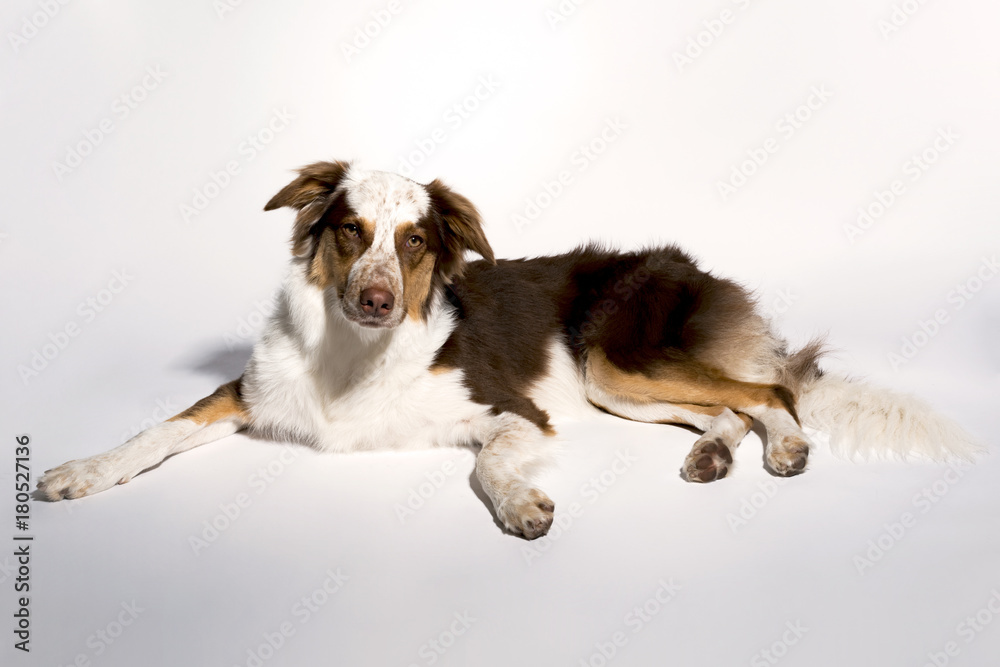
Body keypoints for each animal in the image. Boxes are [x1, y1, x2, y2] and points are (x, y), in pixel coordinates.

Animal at [39, 160, 984, 536]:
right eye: (350, 231)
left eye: (416, 242)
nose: (378, 297)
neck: (354, 355)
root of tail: (696, 269)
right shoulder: (248, 391)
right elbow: (154, 431)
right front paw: (79, 470)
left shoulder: (511, 410)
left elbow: (486, 464)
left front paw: (520, 504)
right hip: (619, 383)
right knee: (722, 405)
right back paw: (714, 455)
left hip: (613, 356)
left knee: (769, 394)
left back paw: (784, 446)